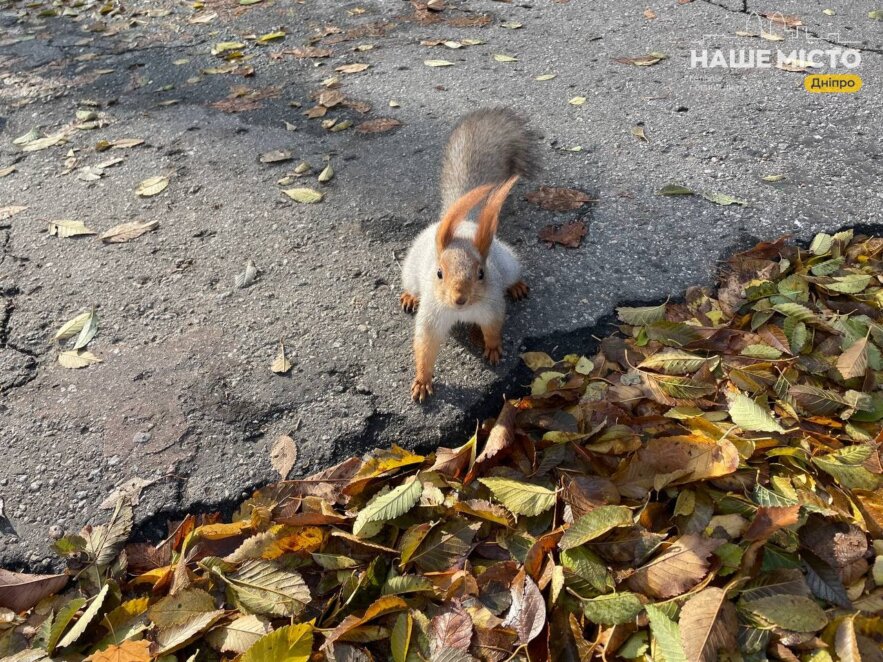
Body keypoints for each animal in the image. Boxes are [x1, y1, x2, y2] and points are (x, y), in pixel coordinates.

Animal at [398, 109, 540, 402]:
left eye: (481, 273)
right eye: (439, 273)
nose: (460, 299)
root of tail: (464, 224)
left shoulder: (492, 307)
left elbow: (494, 328)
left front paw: (493, 348)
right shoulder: (431, 316)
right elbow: (425, 346)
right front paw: (422, 380)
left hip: (509, 262)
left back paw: (516, 288)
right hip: (411, 269)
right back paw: (409, 296)